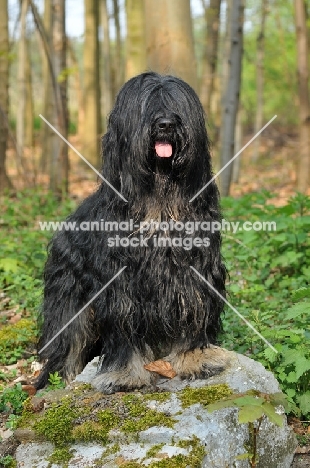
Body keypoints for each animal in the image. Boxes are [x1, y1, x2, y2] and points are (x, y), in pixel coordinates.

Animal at [37, 73, 228, 394]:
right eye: (147, 105)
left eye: (176, 104)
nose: (166, 124)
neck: (159, 202)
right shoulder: (120, 283)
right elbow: (123, 329)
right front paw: (126, 374)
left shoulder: (195, 270)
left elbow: (194, 312)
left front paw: (193, 358)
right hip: (68, 297)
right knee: (69, 342)